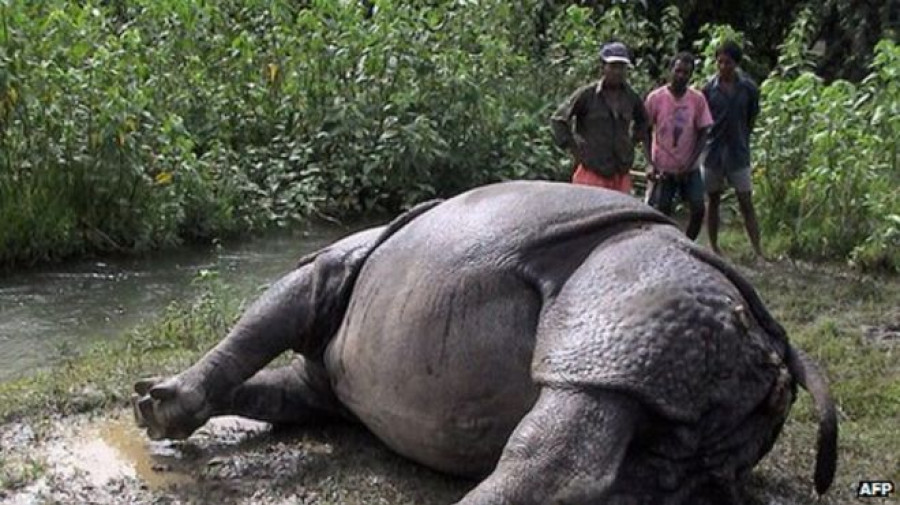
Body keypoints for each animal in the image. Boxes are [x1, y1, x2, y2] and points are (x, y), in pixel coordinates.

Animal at [133, 181, 837, 505]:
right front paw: (148, 402)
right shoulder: (322, 389)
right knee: (661, 469)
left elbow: (258, 324)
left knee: (572, 414)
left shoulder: (328, 271)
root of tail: (772, 341)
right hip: (690, 333)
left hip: (637, 288)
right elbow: (267, 384)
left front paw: (158, 405)